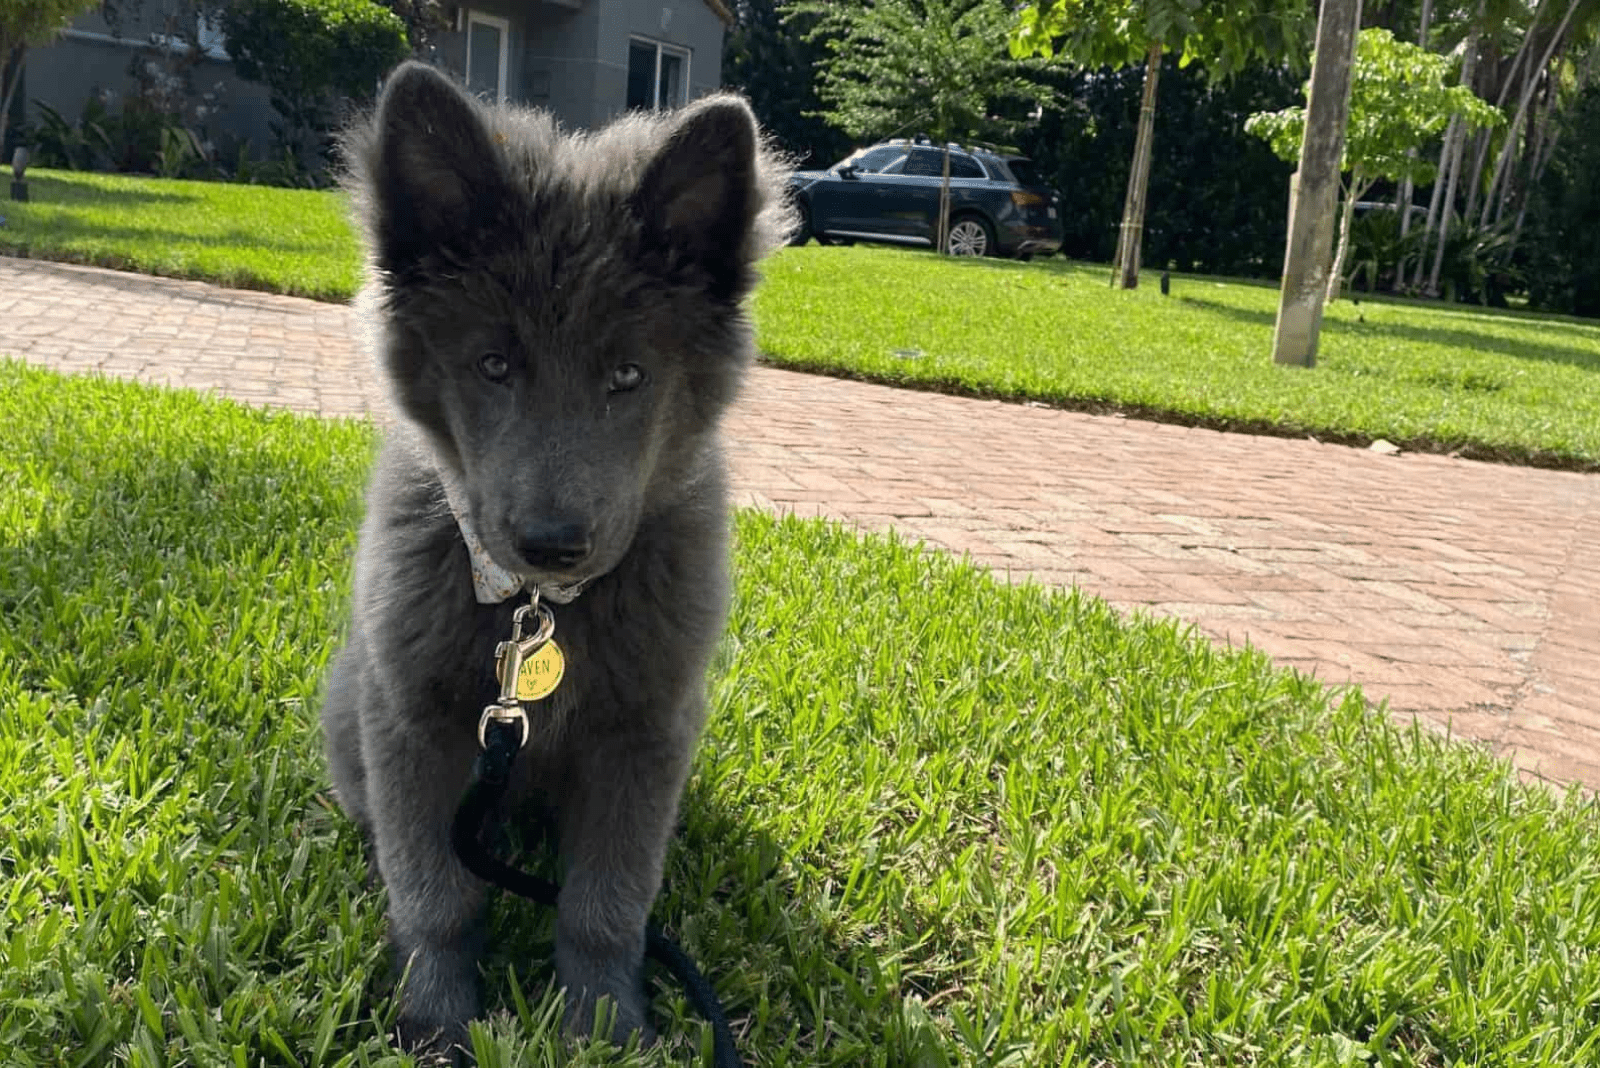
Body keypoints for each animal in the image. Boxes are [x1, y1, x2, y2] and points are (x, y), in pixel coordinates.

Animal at [323, 62, 793, 1055]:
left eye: (628, 376)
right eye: (495, 365)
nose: (552, 541)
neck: (538, 605)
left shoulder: (646, 735)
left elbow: (604, 904)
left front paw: (604, 1028)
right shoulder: (412, 723)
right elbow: (437, 894)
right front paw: (437, 1020)